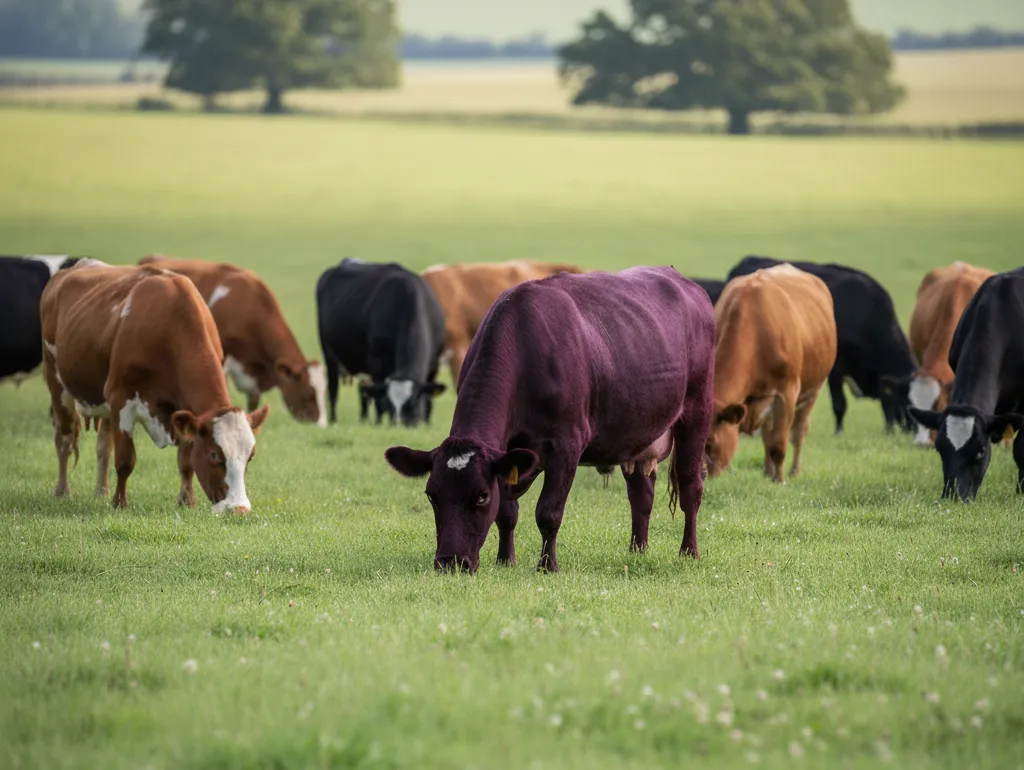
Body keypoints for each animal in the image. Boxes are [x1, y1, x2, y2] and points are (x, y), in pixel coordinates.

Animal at [40, 263, 270, 513]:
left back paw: (101, 490)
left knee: (103, 446)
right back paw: (63, 490)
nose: (239, 509)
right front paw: (119, 503)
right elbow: (125, 459)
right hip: (56, 382)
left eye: (250, 456)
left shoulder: (182, 411)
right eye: (213, 455)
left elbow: (186, 461)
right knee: (64, 439)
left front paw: (186, 500)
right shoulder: (121, 400)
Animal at [317, 259, 446, 427]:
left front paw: (427, 424)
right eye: (391, 404)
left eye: (412, 403)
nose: (399, 425)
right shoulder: (376, 362)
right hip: (329, 354)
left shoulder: (434, 363)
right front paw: (380, 423)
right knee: (334, 390)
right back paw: (334, 421)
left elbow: (429, 398)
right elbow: (379, 399)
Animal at [706, 264, 837, 481]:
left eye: (709, 442)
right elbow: (768, 439)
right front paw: (771, 475)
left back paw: (793, 472)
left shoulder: (787, 392)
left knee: (799, 432)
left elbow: (778, 445)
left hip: (813, 390)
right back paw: (767, 471)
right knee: (767, 433)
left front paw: (779, 480)